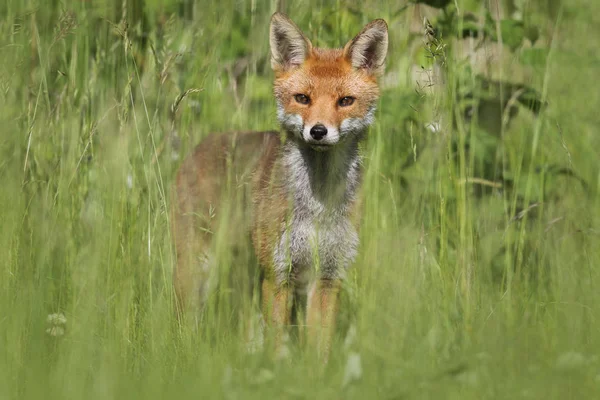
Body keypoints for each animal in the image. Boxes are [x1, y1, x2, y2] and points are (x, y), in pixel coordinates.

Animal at [173, 11, 390, 356]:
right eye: (302, 98)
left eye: (345, 101)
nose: (318, 131)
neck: (317, 207)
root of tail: (202, 143)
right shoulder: (279, 273)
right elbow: (276, 347)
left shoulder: (327, 276)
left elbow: (318, 349)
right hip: (198, 266)